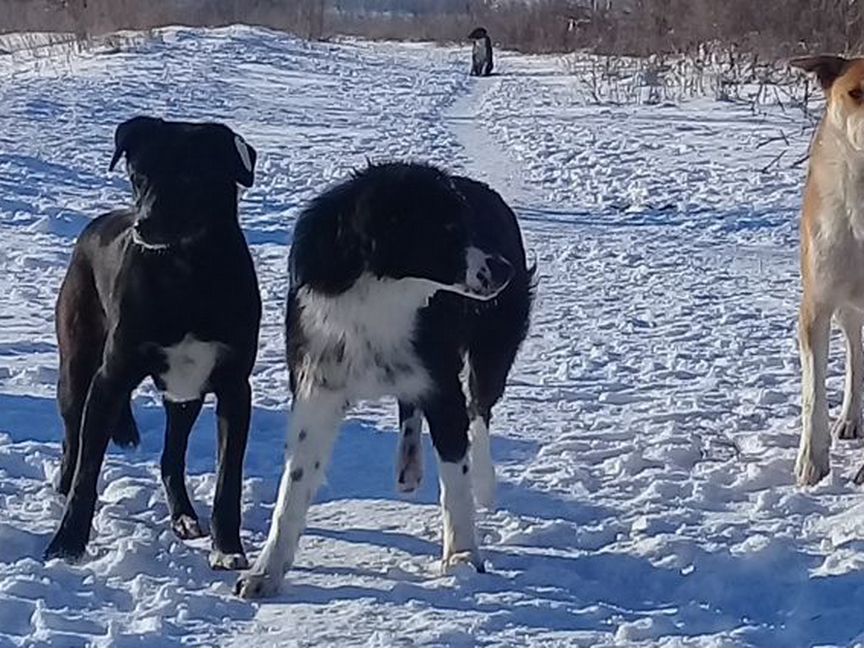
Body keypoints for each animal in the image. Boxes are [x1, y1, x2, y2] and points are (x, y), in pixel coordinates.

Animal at [46, 117, 262, 572]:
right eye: (138, 176)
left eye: (190, 177)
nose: (144, 225)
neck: (187, 272)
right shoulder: (111, 378)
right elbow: (88, 473)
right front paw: (67, 543)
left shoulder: (235, 386)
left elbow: (228, 481)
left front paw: (227, 548)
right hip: (77, 365)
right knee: (73, 437)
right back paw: (63, 482)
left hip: (185, 394)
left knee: (170, 459)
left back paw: (183, 516)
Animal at [236, 161, 532, 596]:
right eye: (445, 227)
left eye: (465, 224)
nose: (504, 270)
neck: (379, 294)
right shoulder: (317, 384)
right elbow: (293, 486)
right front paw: (266, 572)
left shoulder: (442, 387)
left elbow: (456, 481)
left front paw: (462, 557)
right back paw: (408, 463)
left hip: (492, 349)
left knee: (480, 410)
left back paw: (484, 482)